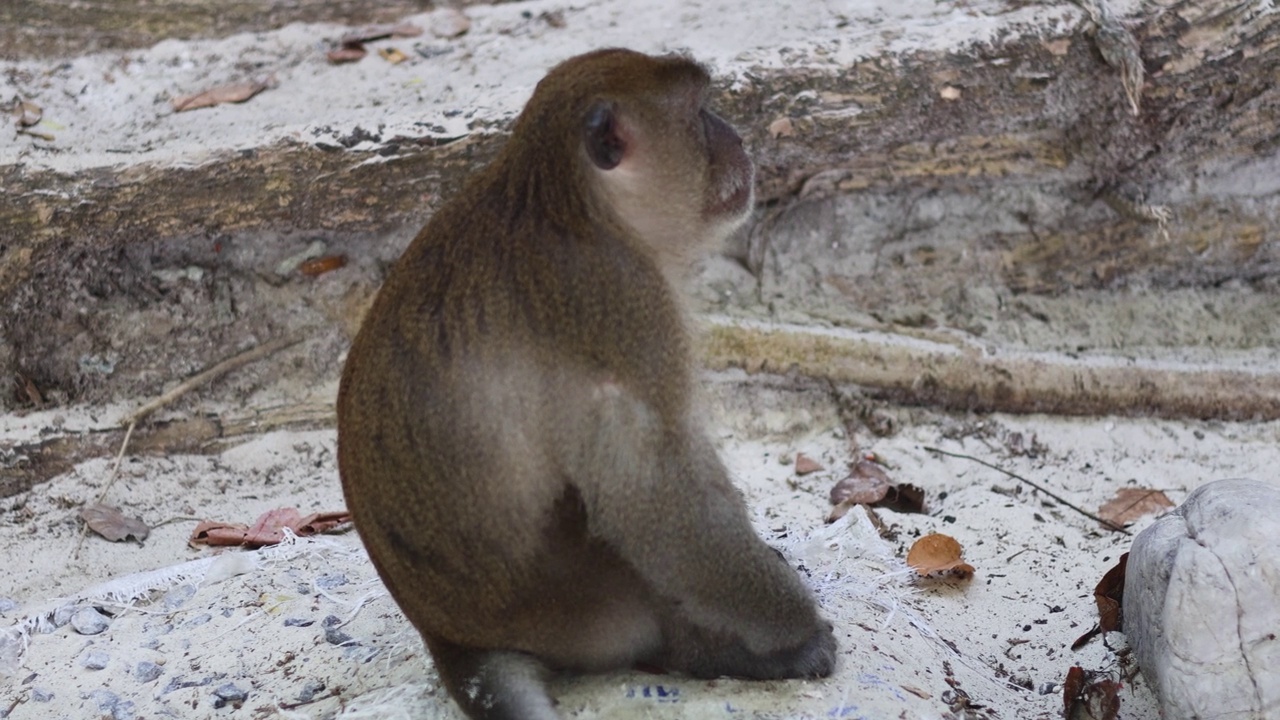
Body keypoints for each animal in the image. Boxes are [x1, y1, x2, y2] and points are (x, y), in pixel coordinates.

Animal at [340, 47, 839, 712]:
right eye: (698, 112)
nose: (737, 137)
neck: (576, 205)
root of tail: (446, 640)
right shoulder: (625, 303)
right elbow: (655, 490)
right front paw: (792, 624)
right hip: (584, 607)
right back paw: (716, 652)